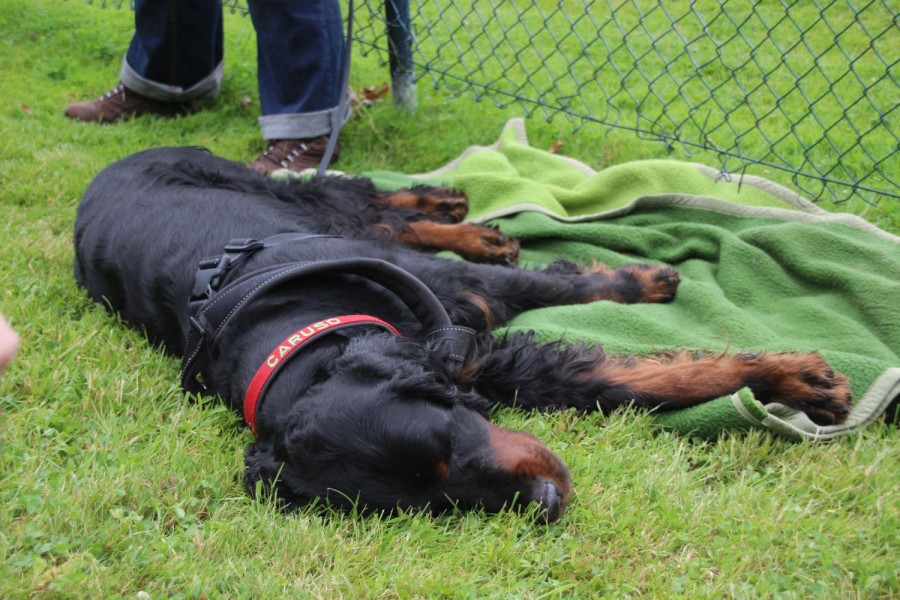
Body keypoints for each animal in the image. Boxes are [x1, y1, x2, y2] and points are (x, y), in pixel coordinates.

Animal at [73, 147, 852, 523]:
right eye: (430, 502)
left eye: (447, 442)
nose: (544, 507)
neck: (303, 333)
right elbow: (630, 383)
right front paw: (789, 377)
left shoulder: (463, 308)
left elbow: (575, 298)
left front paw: (797, 379)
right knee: (382, 215)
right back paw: (468, 220)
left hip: (290, 194)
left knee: (366, 197)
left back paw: (452, 207)